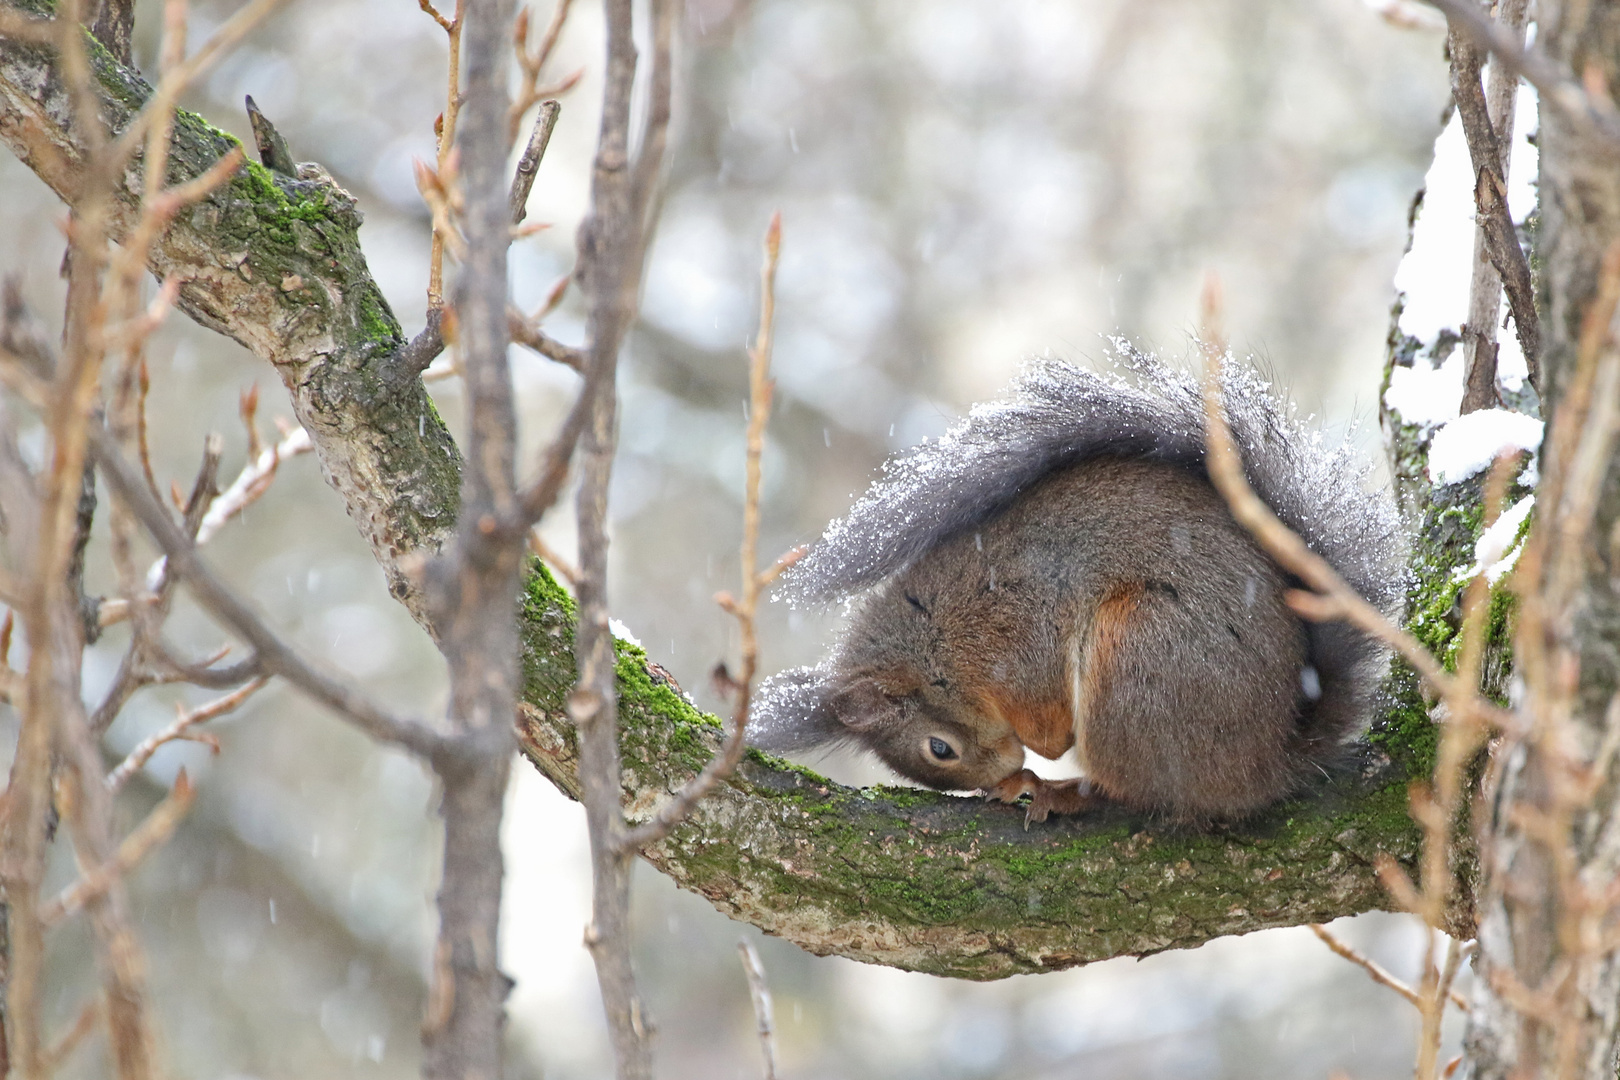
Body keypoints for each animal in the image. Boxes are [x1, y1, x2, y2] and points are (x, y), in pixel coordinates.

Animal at [748, 351, 1406, 822]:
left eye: (939, 749)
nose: (1003, 773)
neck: (938, 638)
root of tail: (1269, 767)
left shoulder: (1018, 631)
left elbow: (1048, 722)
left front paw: (1034, 758)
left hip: (1140, 656)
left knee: (1140, 793)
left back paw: (1065, 791)